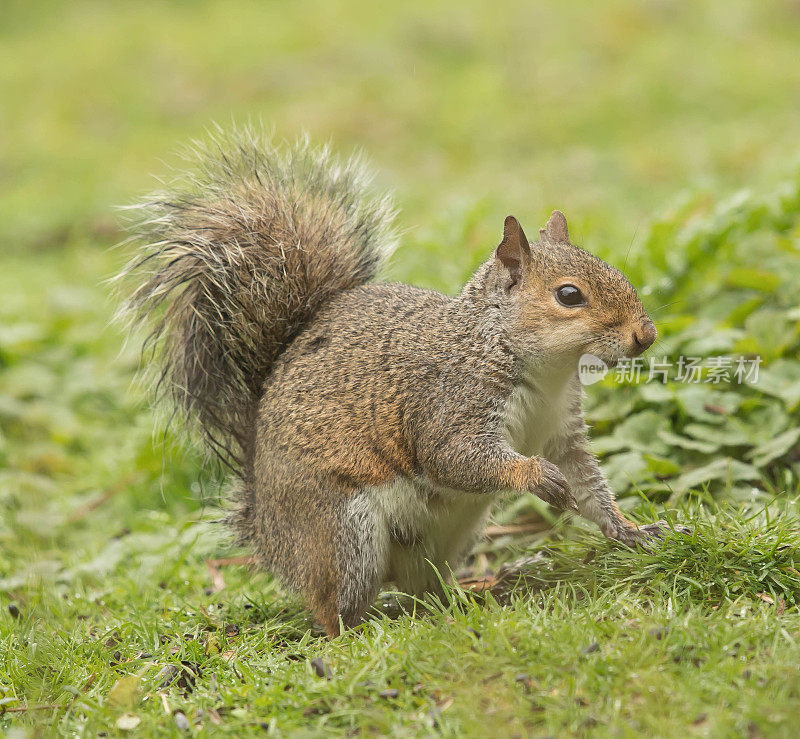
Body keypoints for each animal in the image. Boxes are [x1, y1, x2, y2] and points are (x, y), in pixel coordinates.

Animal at [120, 125, 676, 636]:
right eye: (569, 295)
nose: (645, 335)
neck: (544, 370)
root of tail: (265, 524)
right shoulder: (450, 401)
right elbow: (455, 457)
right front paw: (536, 476)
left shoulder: (564, 429)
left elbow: (588, 484)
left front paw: (630, 530)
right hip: (344, 532)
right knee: (333, 604)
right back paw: (357, 631)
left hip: (451, 534)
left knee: (420, 586)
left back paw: (465, 598)